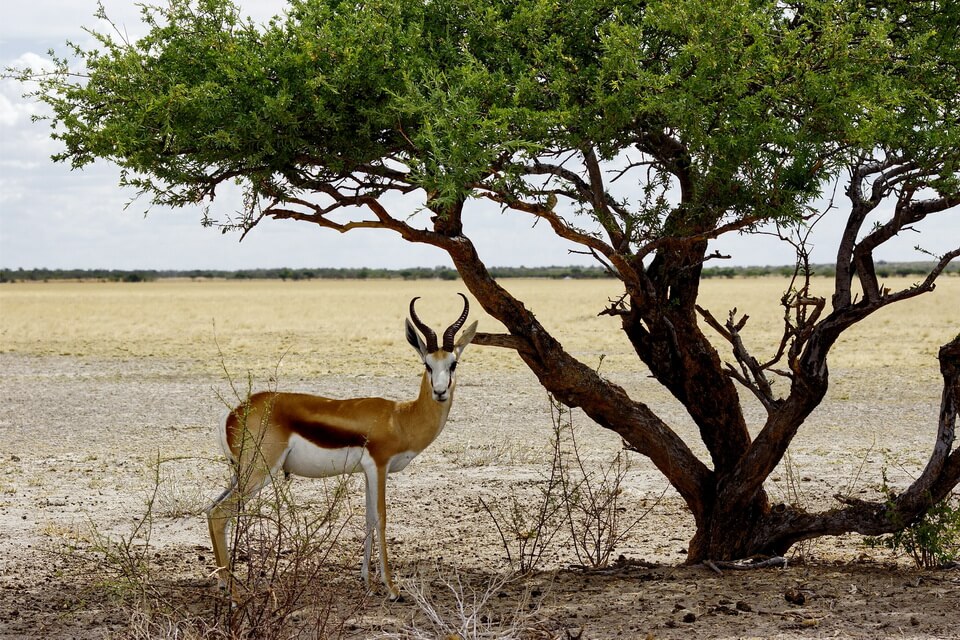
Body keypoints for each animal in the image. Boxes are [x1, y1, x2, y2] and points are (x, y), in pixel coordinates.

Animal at [210, 296, 480, 600]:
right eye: (427, 364)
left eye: (454, 363)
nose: (440, 392)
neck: (400, 417)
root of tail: (232, 413)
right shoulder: (379, 466)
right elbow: (381, 518)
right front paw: (391, 587)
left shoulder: (367, 472)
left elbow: (368, 518)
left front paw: (367, 582)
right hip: (259, 472)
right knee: (220, 513)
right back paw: (233, 594)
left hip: (240, 473)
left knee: (211, 509)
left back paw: (223, 583)